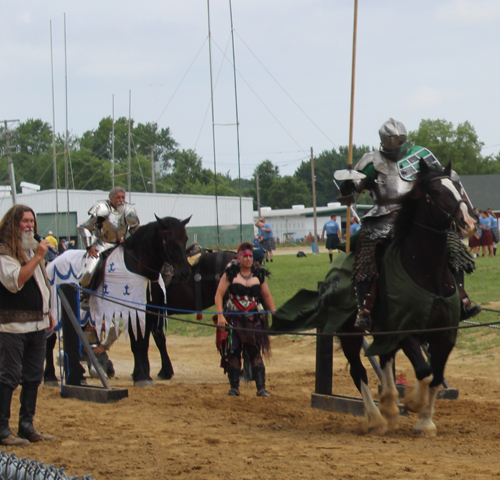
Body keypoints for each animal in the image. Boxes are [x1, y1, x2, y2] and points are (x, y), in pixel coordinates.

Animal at [45, 216, 191, 388]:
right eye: (168, 239)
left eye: (185, 238)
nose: (185, 272)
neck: (139, 268)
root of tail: (52, 263)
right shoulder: (132, 311)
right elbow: (137, 344)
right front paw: (141, 376)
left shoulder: (149, 313)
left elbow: (145, 343)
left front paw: (142, 374)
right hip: (55, 310)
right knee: (50, 340)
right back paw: (50, 377)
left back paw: (77, 376)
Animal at [274, 161, 476, 436]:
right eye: (435, 192)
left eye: (456, 186)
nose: (467, 221)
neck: (425, 272)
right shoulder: (404, 331)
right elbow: (424, 372)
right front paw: (414, 403)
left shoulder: (444, 334)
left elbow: (435, 376)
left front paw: (425, 421)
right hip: (349, 333)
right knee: (359, 371)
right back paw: (377, 418)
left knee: (385, 359)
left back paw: (389, 404)